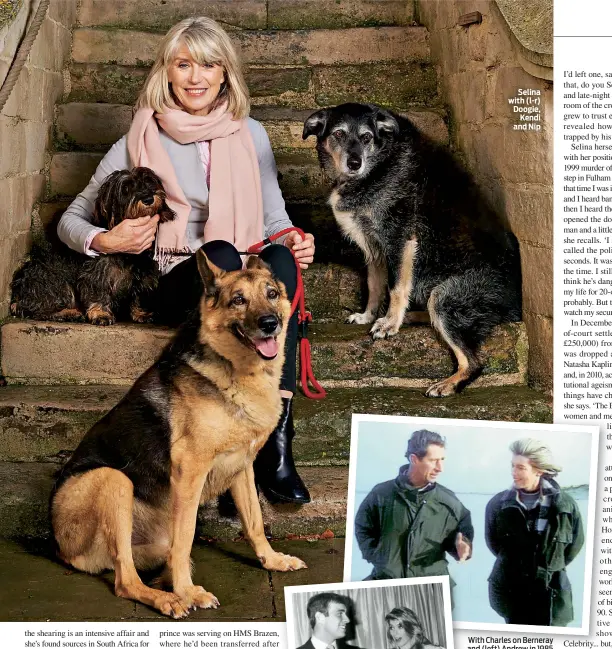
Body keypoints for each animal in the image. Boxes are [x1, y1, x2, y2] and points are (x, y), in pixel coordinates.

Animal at [10, 166, 176, 324]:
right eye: (125, 189)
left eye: (149, 181)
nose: (148, 199)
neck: (128, 255)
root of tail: (18, 292)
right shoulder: (96, 274)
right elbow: (98, 292)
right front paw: (101, 313)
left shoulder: (143, 275)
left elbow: (138, 296)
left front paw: (141, 313)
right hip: (57, 283)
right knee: (40, 311)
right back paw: (70, 313)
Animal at [49, 249, 306, 616]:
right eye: (238, 300)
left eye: (271, 294)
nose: (270, 323)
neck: (237, 370)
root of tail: (59, 548)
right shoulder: (190, 472)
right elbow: (185, 539)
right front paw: (188, 592)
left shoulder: (243, 466)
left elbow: (255, 522)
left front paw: (271, 560)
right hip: (113, 480)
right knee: (126, 579)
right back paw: (166, 597)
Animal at [302, 102, 520, 394]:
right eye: (338, 134)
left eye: (367, 137)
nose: (354, 163)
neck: (380, 164)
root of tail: (515, 303)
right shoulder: (373, 247)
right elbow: (375, 285)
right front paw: (369, 315)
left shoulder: (399, 240)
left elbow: (395, 288)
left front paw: (389, 324)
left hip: (445, 297)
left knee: (474, 363)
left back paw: (446, 384)